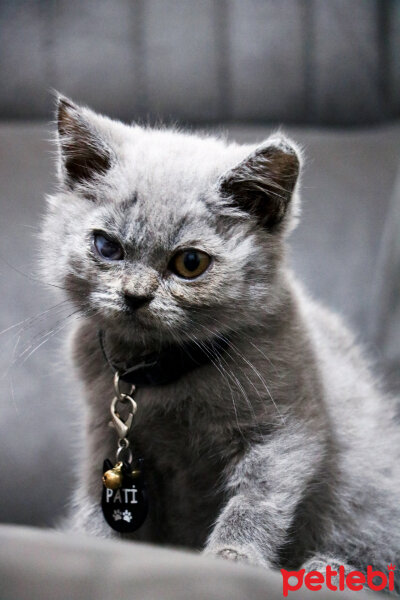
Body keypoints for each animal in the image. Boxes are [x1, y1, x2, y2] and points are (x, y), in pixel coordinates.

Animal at [42, 96, 400, 584]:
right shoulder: (106, 433)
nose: (135, 295)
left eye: (190, 263)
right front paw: (90, 544)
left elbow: (257, 498)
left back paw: (329, 568)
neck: (163, 375)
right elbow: (98, 505)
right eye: (107, 247)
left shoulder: (285, 429)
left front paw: (233, 556)